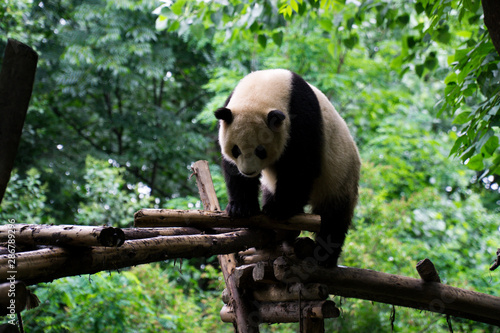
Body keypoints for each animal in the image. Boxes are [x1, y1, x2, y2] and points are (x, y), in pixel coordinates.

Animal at [214, 68, 360, 266]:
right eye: (236, 149)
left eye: (260, 150)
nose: (248, 171)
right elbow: (232, 170)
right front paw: (241, 208)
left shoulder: (302, 118)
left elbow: (301, 167)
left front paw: (280, 209)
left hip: (341, 176)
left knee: (334, 218)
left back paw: (324, 256)